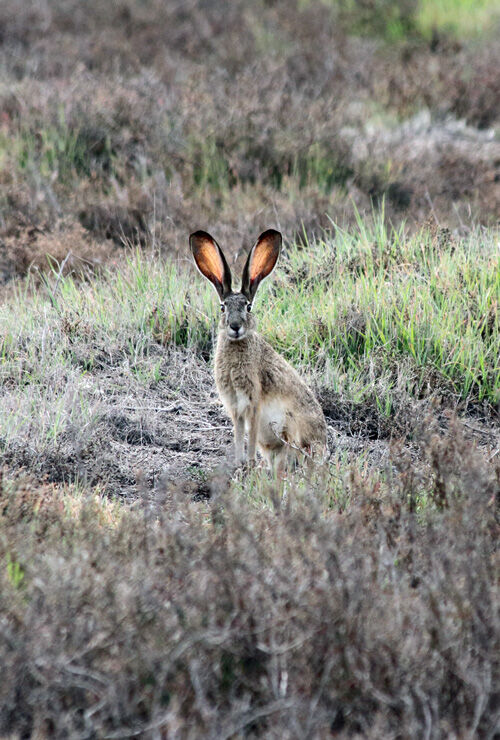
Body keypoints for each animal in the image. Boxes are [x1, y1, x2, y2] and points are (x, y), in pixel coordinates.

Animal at [190, 229, 327, 473]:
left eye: (248, 306)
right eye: (223, 307)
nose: (235, 326)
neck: (237, 346)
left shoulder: (253, 402)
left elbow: (250, 434)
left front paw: (249, 464)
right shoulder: (235, 407)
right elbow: (238, 434)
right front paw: (239, 464)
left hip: (290, 430)